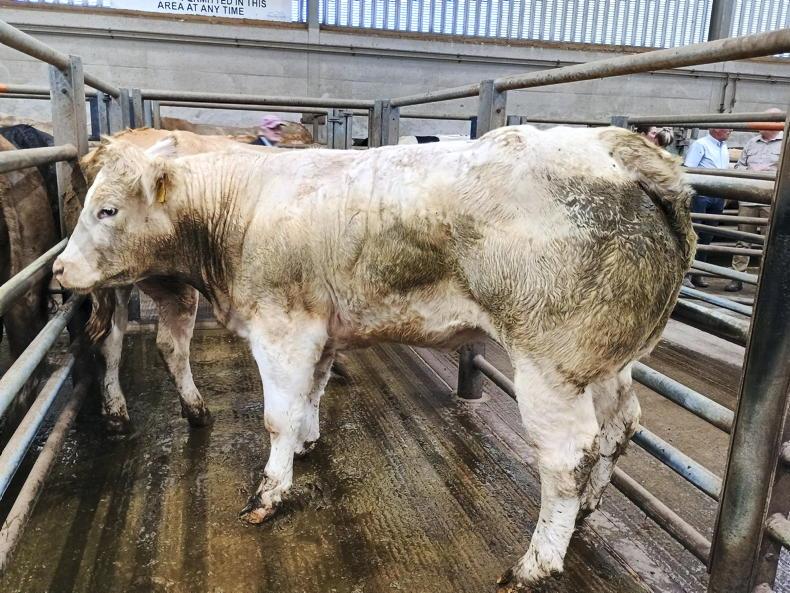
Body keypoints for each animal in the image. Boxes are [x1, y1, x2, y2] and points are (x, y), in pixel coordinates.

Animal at [53, 124, 694, 590]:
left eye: (108, 210)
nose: (59, 268)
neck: (239, 207)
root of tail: (617, 148)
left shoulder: (282, 327)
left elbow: (277, 415)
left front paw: (270, 491)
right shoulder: (318, 328)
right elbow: (310, 393)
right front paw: (306, 444)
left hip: (550, 367)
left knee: (564, 459)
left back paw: (535, 562)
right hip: (606, 360)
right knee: (621, 425)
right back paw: (587, 510)